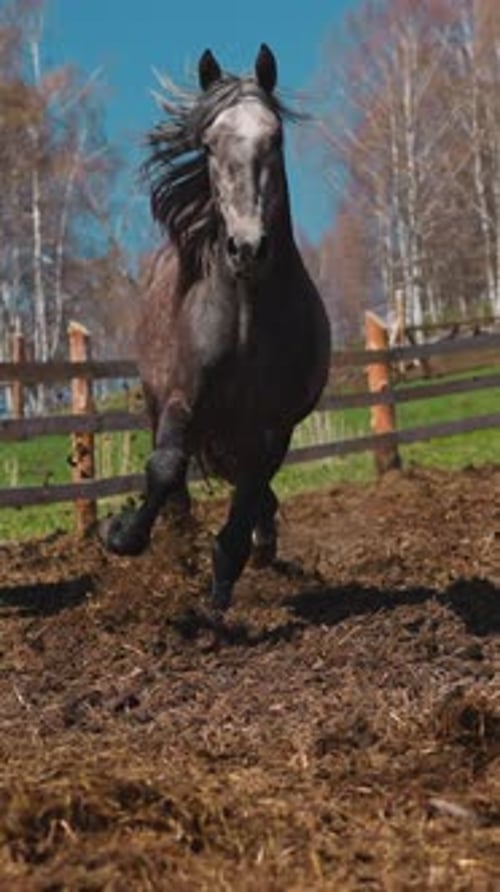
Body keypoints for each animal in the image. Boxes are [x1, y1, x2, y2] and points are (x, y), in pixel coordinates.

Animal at [104, 44, 331, 611]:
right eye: (208, 144)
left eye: (276, 138)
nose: (247, 248)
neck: (246, 325)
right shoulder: (181, 399)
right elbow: (165, 468)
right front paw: (122, 536)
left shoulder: (274, 426)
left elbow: (248, 495)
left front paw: (222, 586)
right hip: (158, 403)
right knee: (178, 481)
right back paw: (178, 543)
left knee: (253, 489)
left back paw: (262, 546)